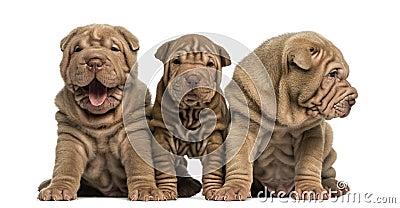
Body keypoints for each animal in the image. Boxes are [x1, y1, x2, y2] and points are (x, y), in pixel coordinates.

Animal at [36, 24, 196, 202]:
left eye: (114, 49)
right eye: (78, 49)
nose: (94, 62)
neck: (100, 120)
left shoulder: (134, 134)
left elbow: (139, 165)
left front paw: (146, 191)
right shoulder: (71, 137)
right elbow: (65, 165)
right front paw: (56, 189)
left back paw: (187, 186)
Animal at [149, 34, 231, 200]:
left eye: (210, 64)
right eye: (176, 61)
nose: (192, 78)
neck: (190, 111)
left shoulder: (213, 140)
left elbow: (213, 167)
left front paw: (214, 190)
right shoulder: (163, 137)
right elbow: (165, 167)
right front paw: (166, 191)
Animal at [216, 30, 360, 200]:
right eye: (332, 74)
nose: (354, 98)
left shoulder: (311, 133)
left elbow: (308, 162)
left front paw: (310, 190)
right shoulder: (244, 126)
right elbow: (240, 161)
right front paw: (233, 188)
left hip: (329, 139)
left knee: (327, 171)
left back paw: (334, 186)